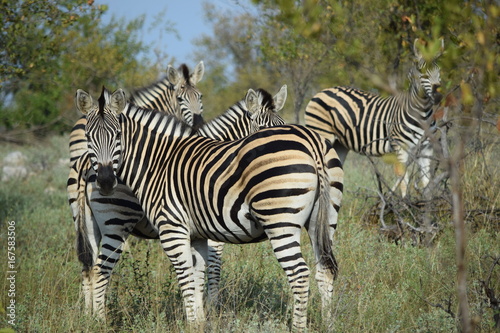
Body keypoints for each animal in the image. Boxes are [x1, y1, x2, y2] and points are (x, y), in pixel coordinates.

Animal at [76, 87, 346, 330]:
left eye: (117, 135)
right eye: (88, 137)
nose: (106, 182)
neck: (157, 163)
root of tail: (311, 141)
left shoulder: (173, 229)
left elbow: (190, 276)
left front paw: (196, 321)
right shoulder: (197, 233)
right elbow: (198, 276)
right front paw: (201, 322)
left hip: (279, 221)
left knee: (300, 274)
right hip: (324, 219)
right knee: (324, 270)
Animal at [302, 39, 444, 196]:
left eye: (439, 71)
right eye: (422, 73)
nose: (438, 95)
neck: (422, 113)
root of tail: (321, 91)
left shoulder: (426, 148)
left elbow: (426, 181)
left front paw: (427, 202)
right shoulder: (400, 147)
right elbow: (403, 181)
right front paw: (404, 203)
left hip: (340, 144)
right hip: (322, 134)